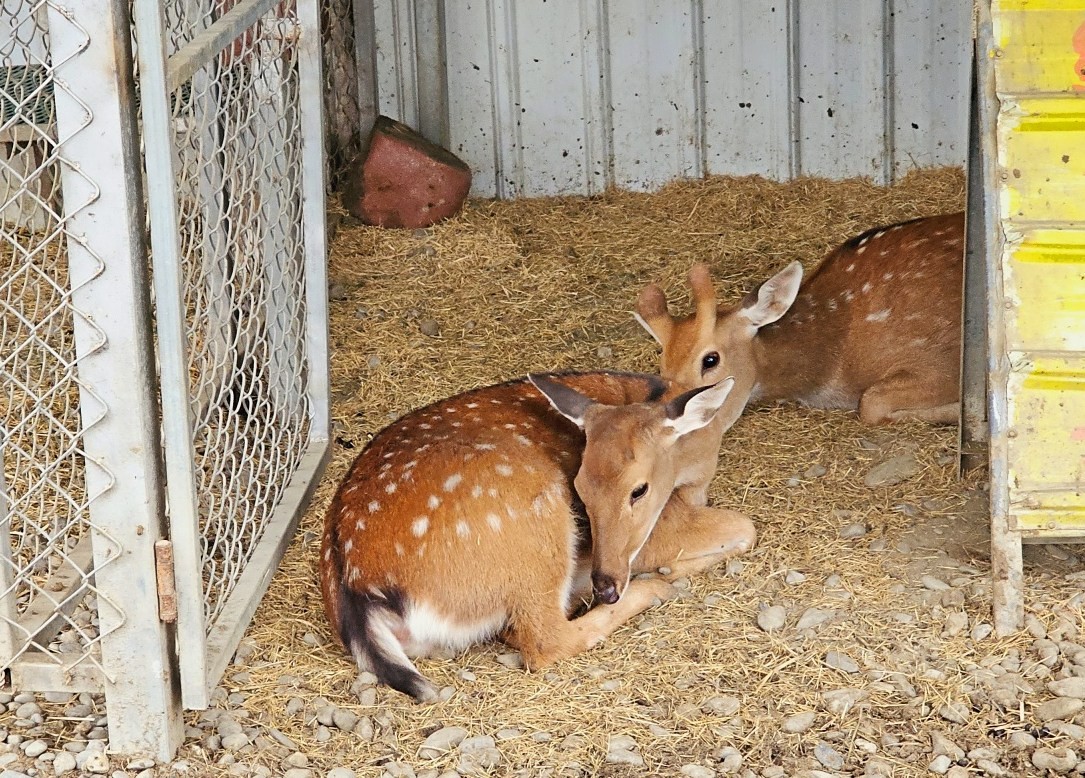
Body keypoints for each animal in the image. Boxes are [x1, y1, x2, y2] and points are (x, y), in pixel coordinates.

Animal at [321, 366, 755, 703]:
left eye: (639, 489)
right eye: (579, 487)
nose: (606, 584)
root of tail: (359, 597)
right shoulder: (661, 528)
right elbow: (746, 529)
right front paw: (667, 572)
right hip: (535, 527)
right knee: (542, 639)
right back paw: (644, 590)